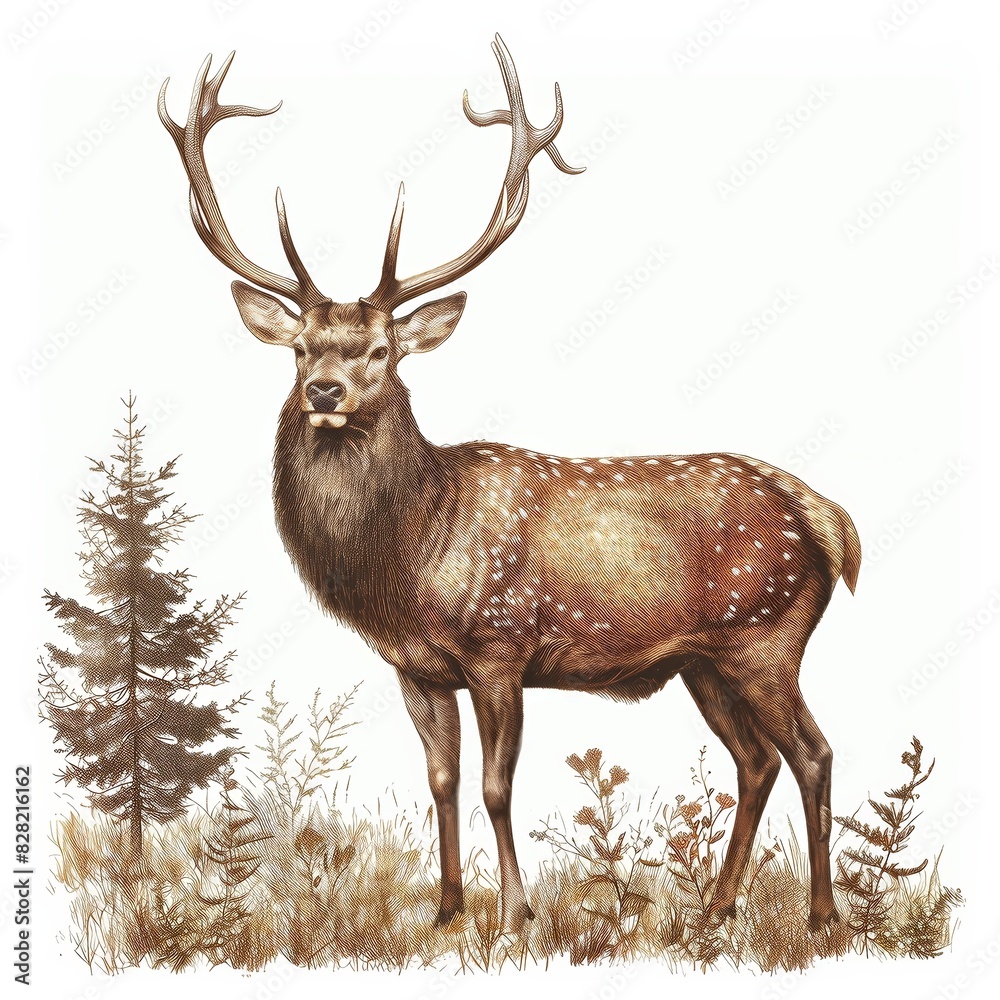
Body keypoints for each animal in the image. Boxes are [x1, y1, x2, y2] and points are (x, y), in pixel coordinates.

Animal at [159, 36, 860, 935]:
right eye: (301, 348)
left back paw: (821, 917)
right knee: (756, 760)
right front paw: (447, 910)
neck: (411, 559)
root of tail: (827, 518)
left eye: (381, 351)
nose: (324, 391)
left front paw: (514, 916)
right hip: (707, 659)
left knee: (812, 751)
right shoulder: (418, 668)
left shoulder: (501, 646)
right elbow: (443, 782)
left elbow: (496, 788)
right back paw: (716, 908)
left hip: (765, 634)